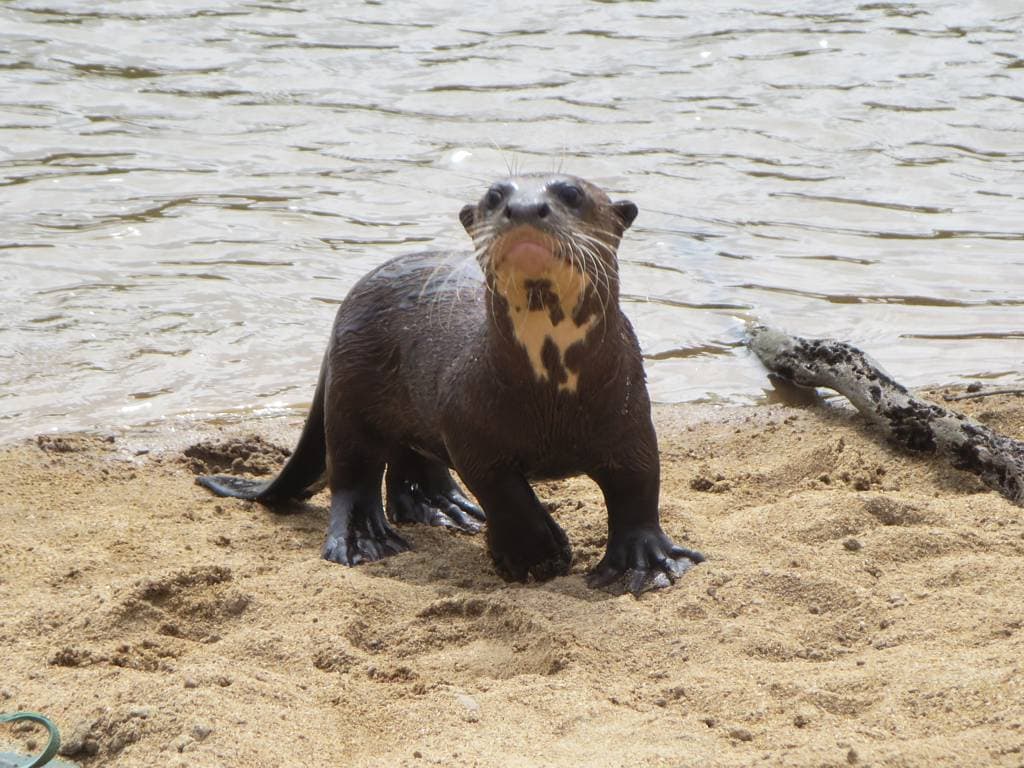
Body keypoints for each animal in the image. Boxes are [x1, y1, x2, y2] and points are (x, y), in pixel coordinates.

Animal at [198, 174, 704, 595]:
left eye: (571, 193)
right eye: (495, 196)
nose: (524, 208)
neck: (552, 398)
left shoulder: (631, 419)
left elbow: (639, 486)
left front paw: (644, 565)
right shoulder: (468, 426)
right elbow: (503, 492)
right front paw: (535, 555)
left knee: (411, 457)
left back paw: (445, 509)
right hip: (349, 393)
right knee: (352, 474)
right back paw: (367, 541)